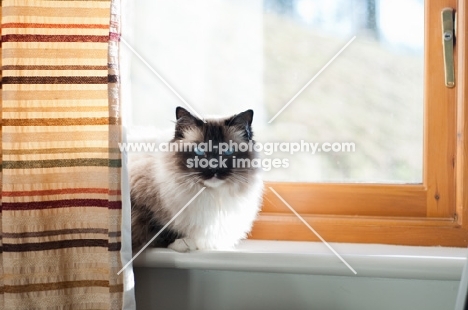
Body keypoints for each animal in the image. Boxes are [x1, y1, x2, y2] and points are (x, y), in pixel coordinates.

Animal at [128, 106, 264, 252]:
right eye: (199, 151)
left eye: (227, 151)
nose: (214, 168)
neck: (211, 195)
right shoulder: (141, 204)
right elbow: (157, 229)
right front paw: (184, 243)